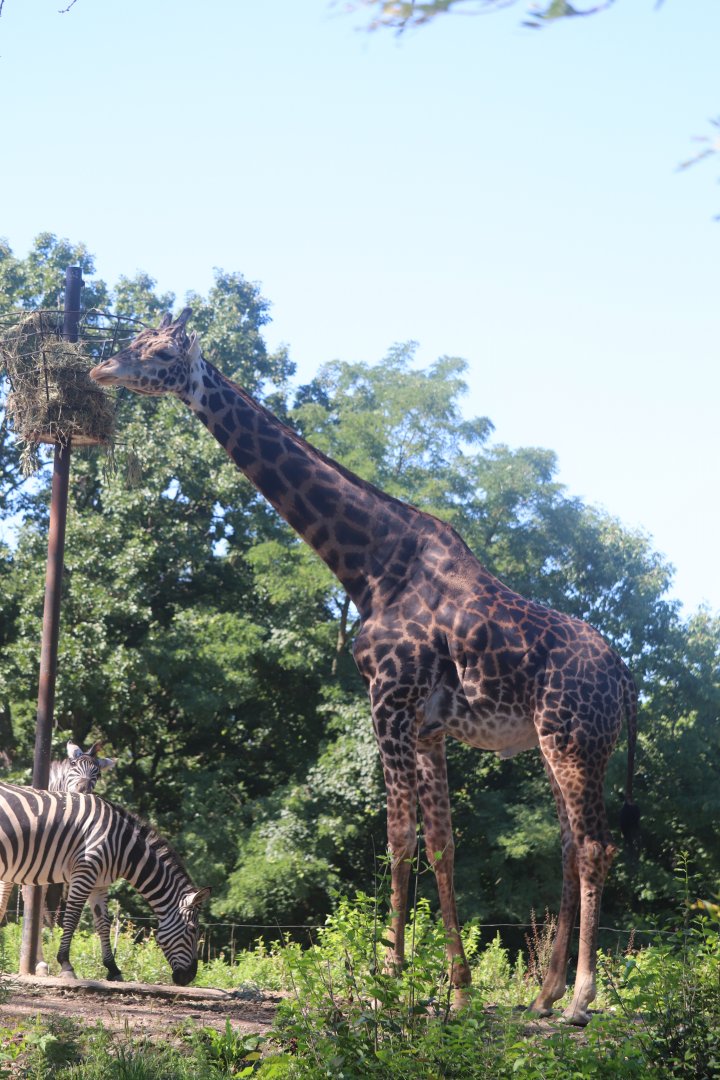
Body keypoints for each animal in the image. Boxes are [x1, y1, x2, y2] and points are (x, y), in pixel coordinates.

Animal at [0, 781, 209, 984]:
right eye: (193, 930)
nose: (189, 977)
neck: (123, 846)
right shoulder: (85, 871)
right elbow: (72, 918)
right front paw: (66, 965)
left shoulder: (99, 883)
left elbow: (103, 923)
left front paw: (113, 969)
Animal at [90, 309, 638, 1025]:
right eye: (136, 342)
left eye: (156, 353)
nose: (100, 368)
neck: (370, 566)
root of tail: (624, 676)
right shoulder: (428, 726)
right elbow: (441, 845)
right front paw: (458, 990)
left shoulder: (389, 701)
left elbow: (398, 838)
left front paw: (390, 978)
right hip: (558, 745)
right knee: (572, 845)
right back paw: (543, 996)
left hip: (575, 741)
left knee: (596, 847)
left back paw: (578, 999)